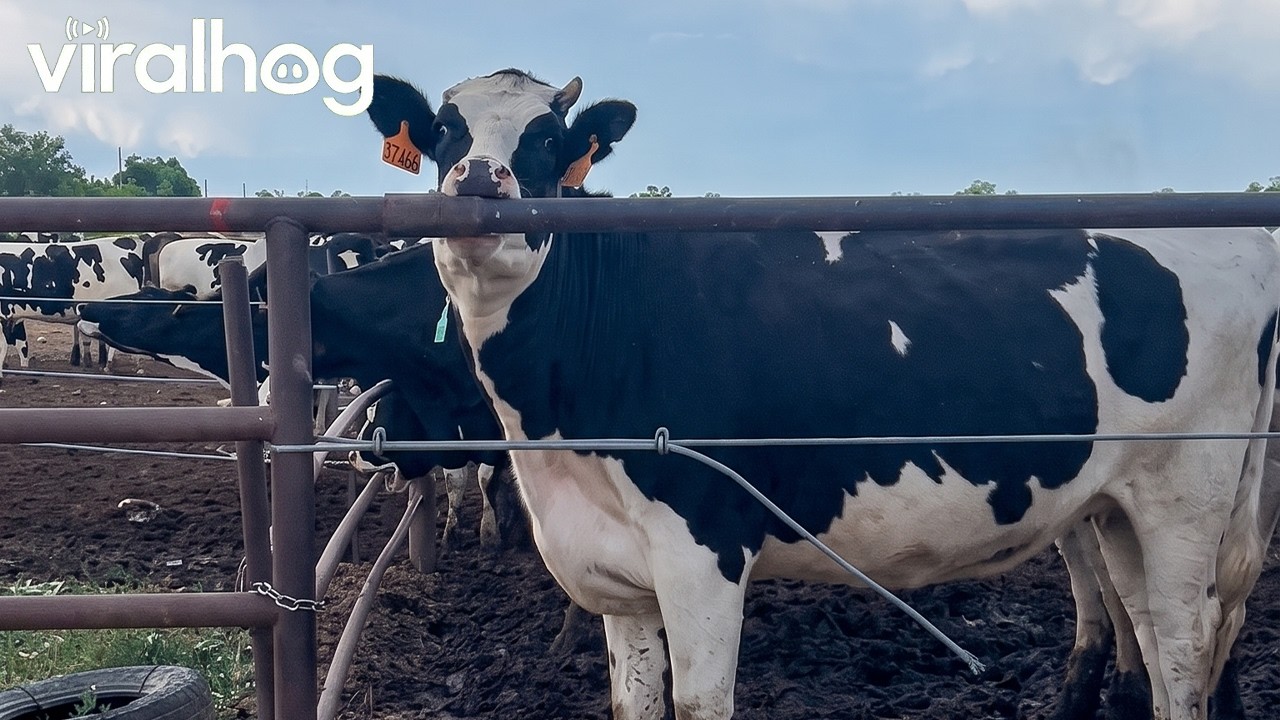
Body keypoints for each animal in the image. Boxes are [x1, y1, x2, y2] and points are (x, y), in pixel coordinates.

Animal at [363, 69, 1280, 720]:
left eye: (549, 138)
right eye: (444, 131)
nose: (480, 182)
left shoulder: (704, 549)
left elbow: (701, 701)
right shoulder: (615, 574)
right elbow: (633, 701)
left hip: (1185, 495)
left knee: (1185, 647)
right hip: (1120, 504)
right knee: (1156, 640)